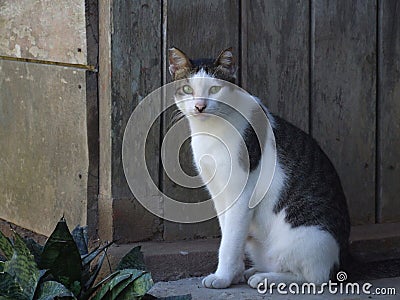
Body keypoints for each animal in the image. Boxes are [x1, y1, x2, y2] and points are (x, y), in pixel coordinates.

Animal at [167, 46, 348, 288]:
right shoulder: (217, 191)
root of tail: (340, 262)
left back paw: (265, 278)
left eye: (215, 89)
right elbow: (230, 234)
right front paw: (233, 274)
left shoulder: (241, 193)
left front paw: (222, 277)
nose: (200, 106)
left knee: (314, 278)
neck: (210, 131)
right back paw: (254, 271)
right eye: (188, 89)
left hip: (307, 240)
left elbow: (230, 241)